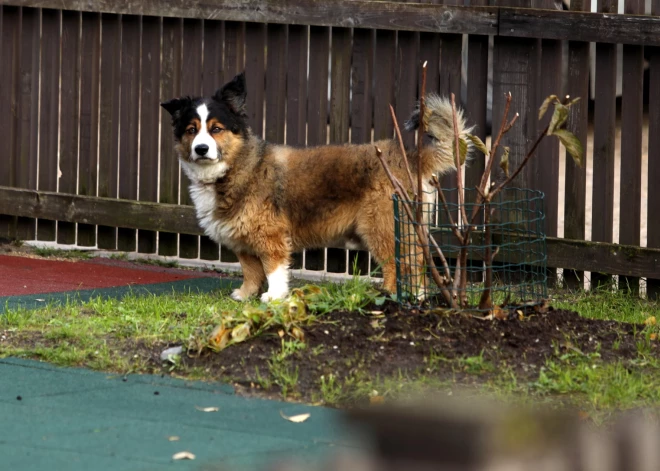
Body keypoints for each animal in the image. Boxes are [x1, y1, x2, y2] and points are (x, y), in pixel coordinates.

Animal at [162, 74, 472, 302]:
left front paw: (274, 297)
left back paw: (393, 295)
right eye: (191, 130)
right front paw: (246, 295)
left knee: (401, 264)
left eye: (216, 129)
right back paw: (416, 296)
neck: (237, 165)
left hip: (383, 227)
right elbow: (250, 270)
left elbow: (273, 269)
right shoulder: (244, 240)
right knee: (416, 263)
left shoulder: (271, 237)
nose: (201, 149)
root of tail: (409, 156)